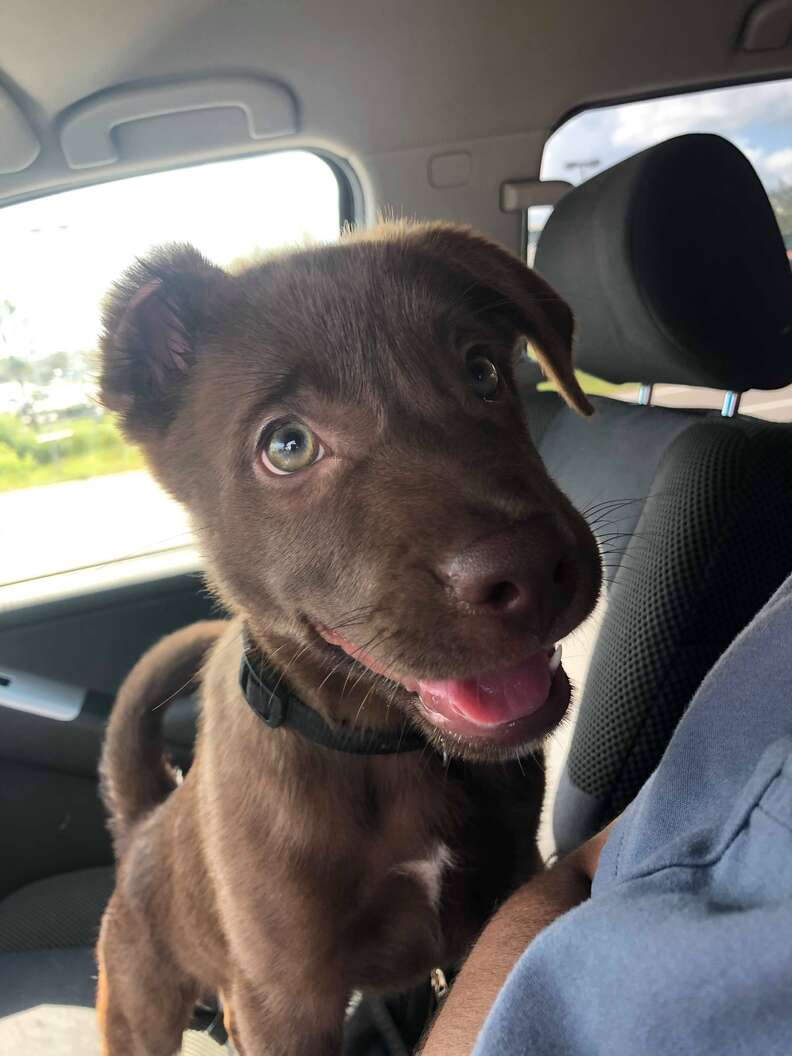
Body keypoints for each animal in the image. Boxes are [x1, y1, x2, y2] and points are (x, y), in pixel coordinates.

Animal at [97, 224, 599, 1056]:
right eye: (288, 446)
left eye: (483, 371)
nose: (531, 572)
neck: (381, 751)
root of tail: (141, 829)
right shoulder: (288, 996)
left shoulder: (495, 898)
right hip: (139, 1006)